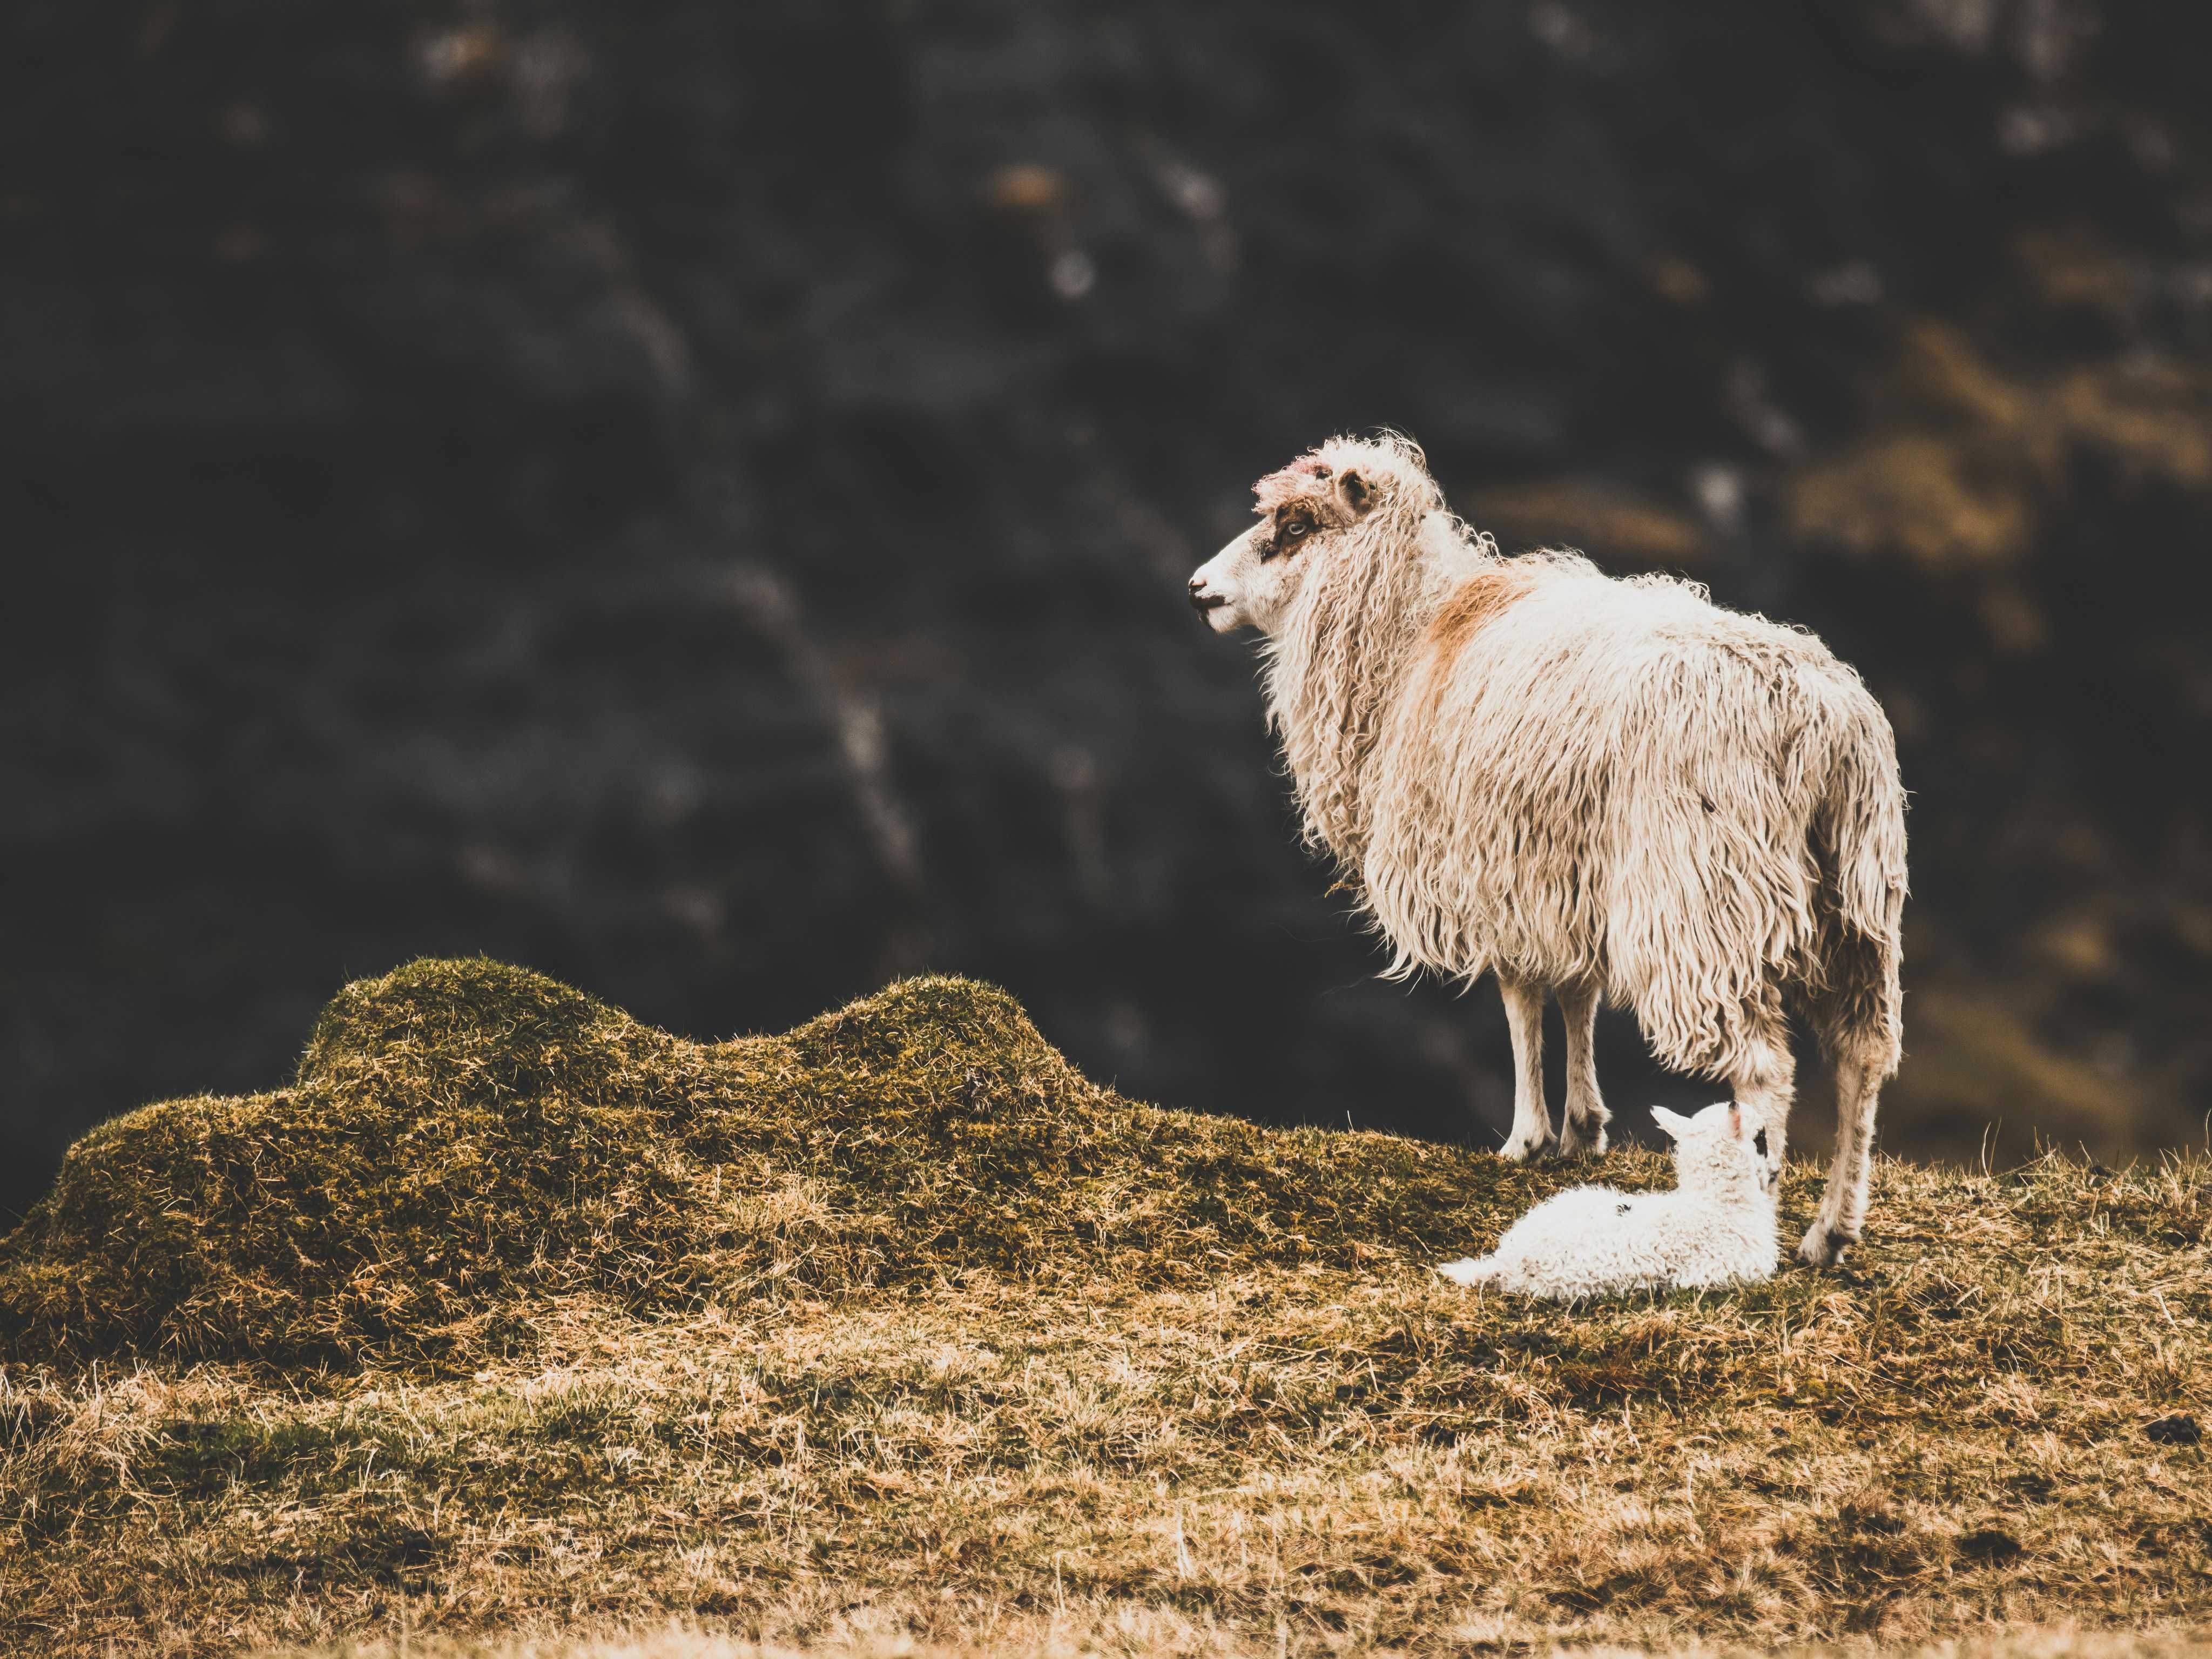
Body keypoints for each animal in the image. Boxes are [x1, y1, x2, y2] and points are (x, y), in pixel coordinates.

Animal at [1186, 433, 1906, 1268]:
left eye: (1296, 525)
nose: (1199, 589)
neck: (1416, 635)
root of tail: (1820, 716)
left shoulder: (1495, 871)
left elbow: (1521, 1004)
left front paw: (1527, 1138)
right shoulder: (1560, 876)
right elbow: (1576, 997)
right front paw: (1584, 1128)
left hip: (1700, 898)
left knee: (1765, 1067)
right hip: (1855, 906)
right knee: (1863, 1058)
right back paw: (1832, 1233)